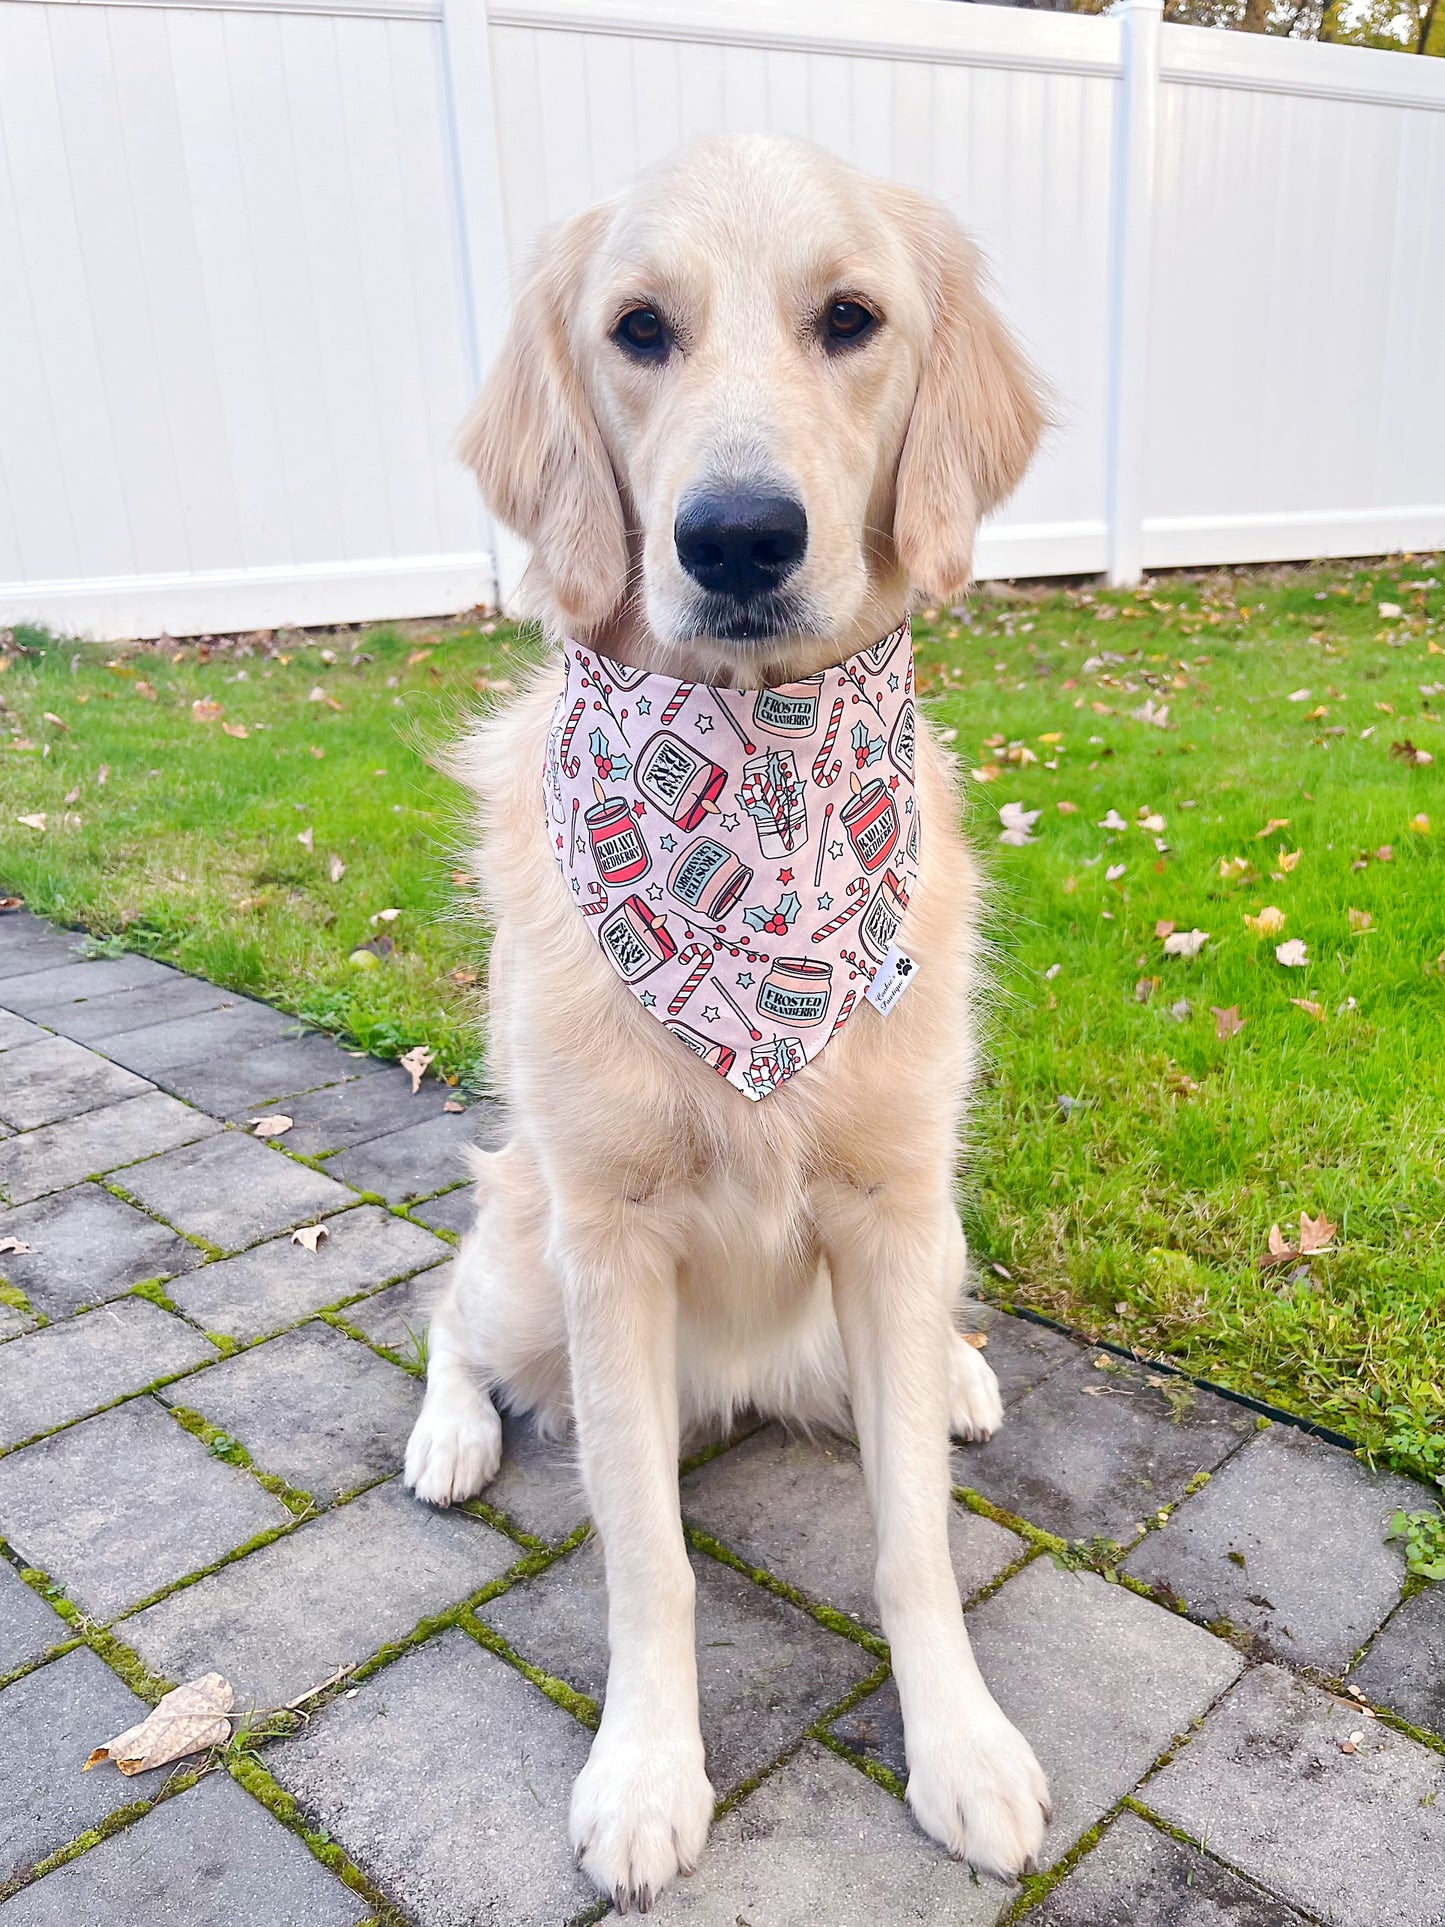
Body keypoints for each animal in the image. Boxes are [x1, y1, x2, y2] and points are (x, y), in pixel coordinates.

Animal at [404, 131, 1055, 1911]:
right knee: (443, 1314)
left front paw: (961, 1746)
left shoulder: (895, 1214)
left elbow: (915, 1542)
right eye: (639, 328)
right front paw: (644, 1772)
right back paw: (449, 1435)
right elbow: (650, 1560)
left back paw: (958, 1374)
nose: (740, 537)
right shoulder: (611, 1240)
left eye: (851, 317)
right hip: (527, 1260)